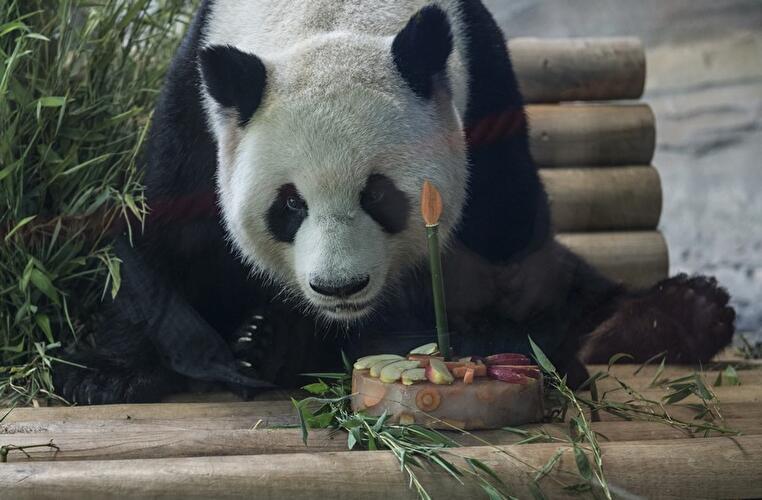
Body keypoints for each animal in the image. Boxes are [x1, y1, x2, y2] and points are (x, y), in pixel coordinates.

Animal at [55, 0, 736, 404]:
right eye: (289, 205)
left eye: (379, 195)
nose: (339, 287)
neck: (323, 14)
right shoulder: (199, 110)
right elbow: (162, 233)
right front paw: (127, 369)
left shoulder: (482, 82)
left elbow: (509, 248)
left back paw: (674, 316)